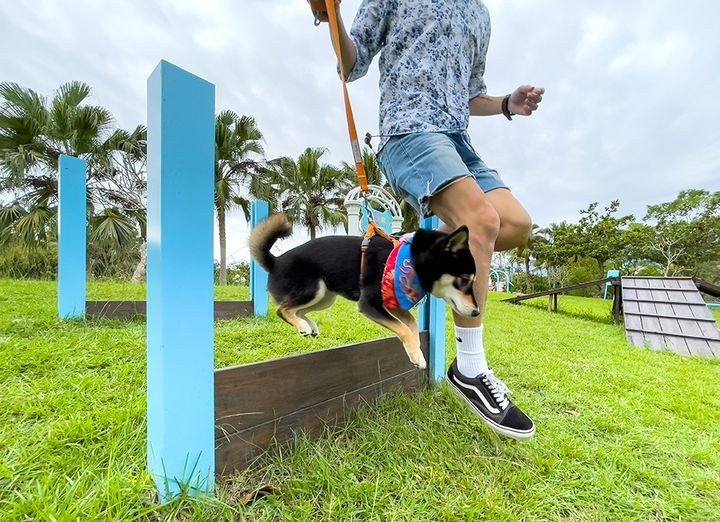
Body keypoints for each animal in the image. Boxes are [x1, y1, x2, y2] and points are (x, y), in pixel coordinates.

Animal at [248, 213, 478, 368]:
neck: (411, 260)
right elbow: (403, 329)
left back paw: (308, 325)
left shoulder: (391, 302)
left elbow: (411, 324)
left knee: (297, 310)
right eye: (465, 279)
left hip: (325, 297)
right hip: (313, 289)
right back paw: (303, 325)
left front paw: (417, 350)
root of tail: (275, 261)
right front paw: (416, 356)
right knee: (283, 309)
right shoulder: (370, 304)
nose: (476, 312)